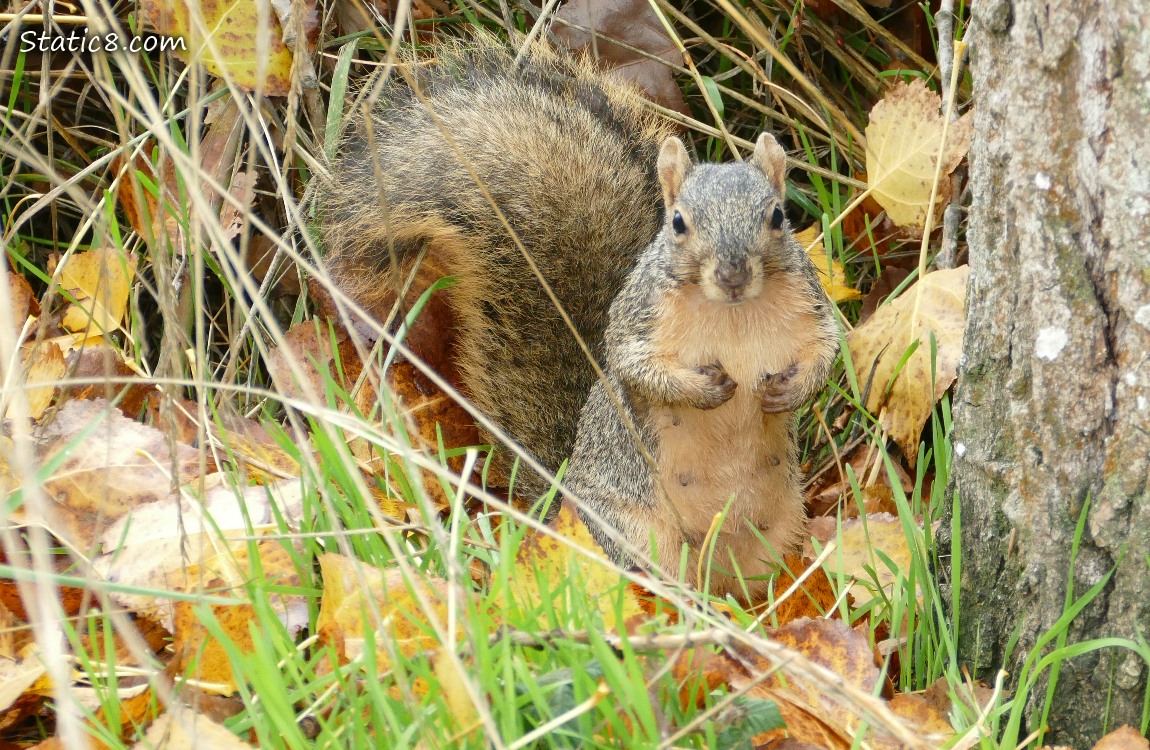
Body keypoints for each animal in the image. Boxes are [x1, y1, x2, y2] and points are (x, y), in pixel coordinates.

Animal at [317, 35, 838, 596]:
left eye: (778, 216)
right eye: (678, 222)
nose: (734, 273)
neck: (734, 315)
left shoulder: (811, 306)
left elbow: (827, 348)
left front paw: (793, 389)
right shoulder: (638, 321)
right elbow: (635, 367)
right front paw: (703, 388)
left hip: (780, 530)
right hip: (633, 531)